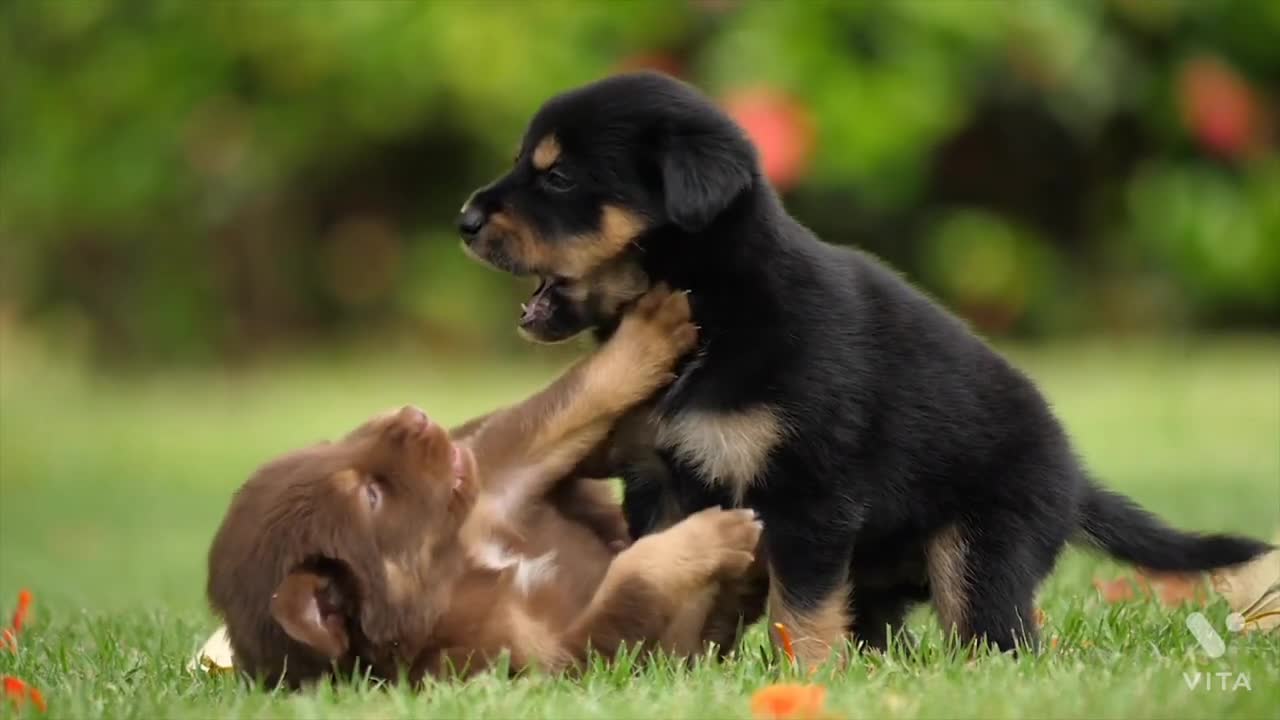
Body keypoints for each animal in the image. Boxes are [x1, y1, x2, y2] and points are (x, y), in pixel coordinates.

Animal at [207, 285, 757, 681]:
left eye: (332, 445)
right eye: (371, 496)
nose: (416, 417)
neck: (458, 568)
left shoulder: (497, 483)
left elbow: (566, 400)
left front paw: (652, 327)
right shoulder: (544, 658)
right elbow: (631, 587)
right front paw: (714, 537)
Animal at [458, 70, 1269, 661]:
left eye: (559, 178)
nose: (463, 221)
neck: (717, 308)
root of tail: (1074, 479)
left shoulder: (809, 495)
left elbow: (800, 610)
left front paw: (805, 678)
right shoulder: (660, 483)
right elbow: (670, 570)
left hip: (983, 550)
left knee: (998, 637)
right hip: (891, 574)